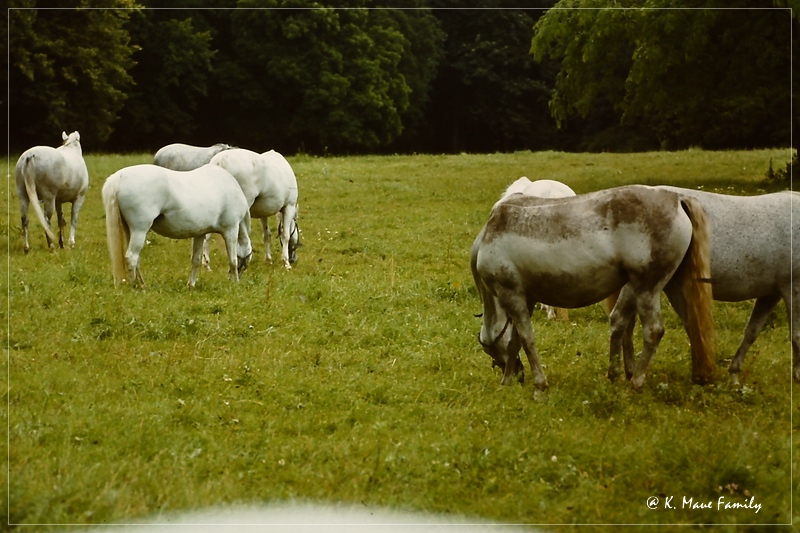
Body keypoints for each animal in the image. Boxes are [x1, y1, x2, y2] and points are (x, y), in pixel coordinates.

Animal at [102, 163, 253, 286]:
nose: (237, 276)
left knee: (135, 259)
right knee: (132, 257)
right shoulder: (231, 230)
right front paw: (235, 283)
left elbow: (196, 260)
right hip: (140, 230)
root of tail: (119, 177)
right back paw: (135, 287)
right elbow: (232, 259)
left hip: (130, 230)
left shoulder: (200, 234)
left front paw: (191, 285)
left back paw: (142, 284)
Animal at [472, 185, 716, 388]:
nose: (519, 374)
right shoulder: (526, 299)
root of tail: (677, 199)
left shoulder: (511, 295)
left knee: (653, 331)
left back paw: (635, 383)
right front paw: (507, 383)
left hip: (648, 287)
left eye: (488, 349)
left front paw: (538, 385)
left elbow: (526, 339)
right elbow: (515, 341)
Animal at [608, 187, 796, 382]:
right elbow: (795, 335)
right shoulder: (792, 288)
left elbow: (752, 332)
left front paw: (734, 375)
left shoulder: (771, 293)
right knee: (622, 321)